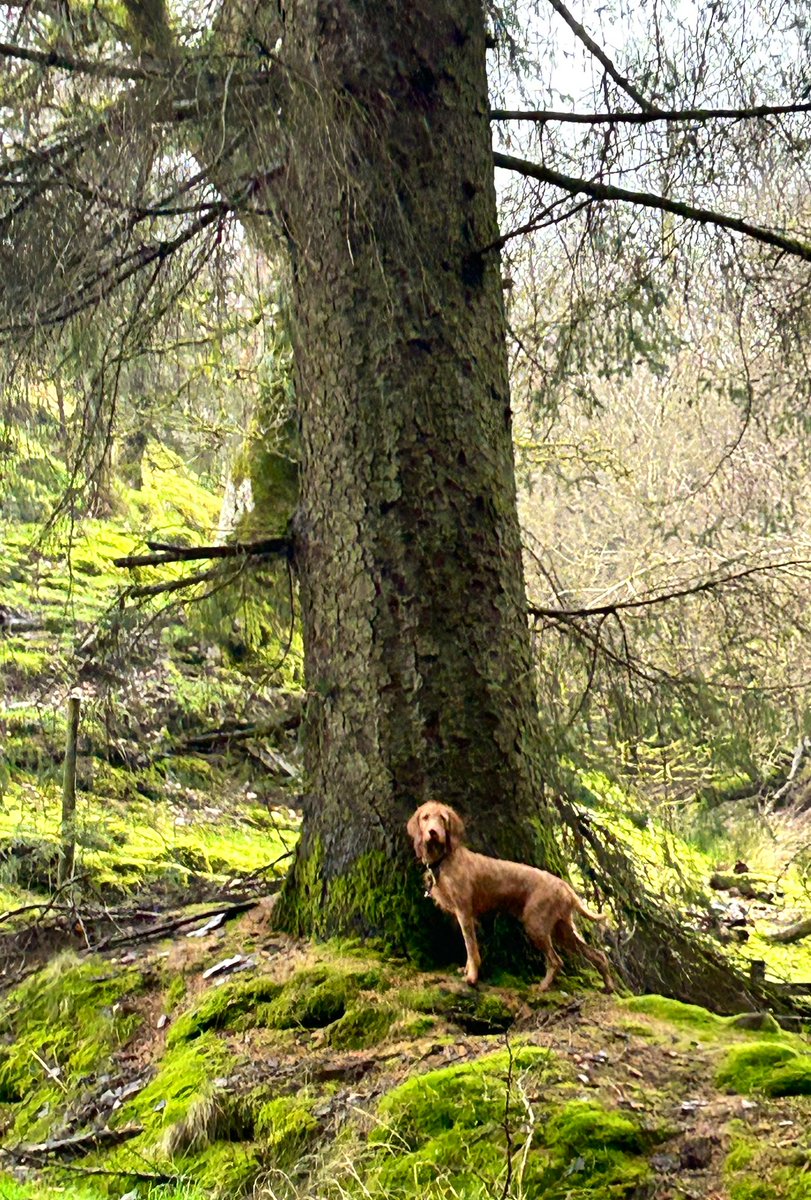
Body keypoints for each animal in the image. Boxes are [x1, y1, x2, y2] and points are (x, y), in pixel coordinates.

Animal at [407, 801, 611, 988]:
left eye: (442, 818)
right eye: (425, 817)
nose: (433, 832)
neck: (445, 859)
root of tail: (564, 886)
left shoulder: (464, 911)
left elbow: (471, 948)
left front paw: (472, 977)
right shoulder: (464, 915)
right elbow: (469, 947)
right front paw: (465, 970)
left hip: (536, 924)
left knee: (556, 961)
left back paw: (542, 987)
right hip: (562, 929)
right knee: (598, 955)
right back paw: (608, 986)